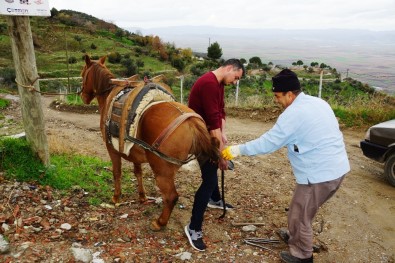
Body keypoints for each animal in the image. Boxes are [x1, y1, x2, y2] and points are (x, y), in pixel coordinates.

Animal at [79, 55, 218, 231]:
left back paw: (160, 222)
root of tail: (192, 122)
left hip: (162, 170)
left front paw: (116, 197)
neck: (110, 95)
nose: (82, 96)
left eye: (83, 74)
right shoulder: (133, 151)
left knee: (171, 196)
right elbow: (138, 173)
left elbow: (116, 172)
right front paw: (142, 196)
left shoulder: (112, 149)